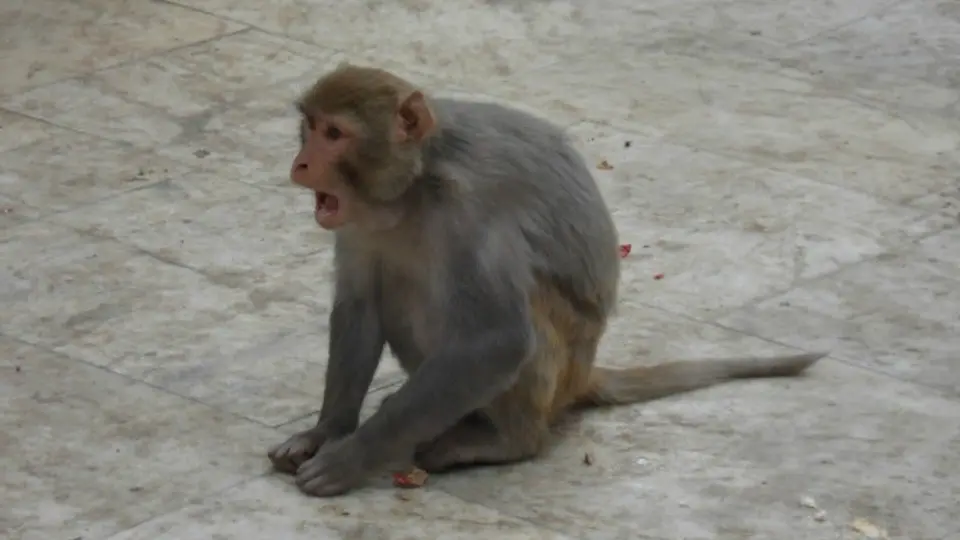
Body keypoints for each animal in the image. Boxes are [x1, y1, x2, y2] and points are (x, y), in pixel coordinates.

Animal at [266, 63, 825, 497]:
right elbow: (359, 305)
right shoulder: (355, 220)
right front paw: (326, 432)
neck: (413, 187)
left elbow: (499, 339)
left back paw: (506, 441)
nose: (301, 163)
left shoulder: (470, 213)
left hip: (557, 372)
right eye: (310, 126)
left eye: (334, 135)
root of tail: (584, 374)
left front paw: (351, 458)